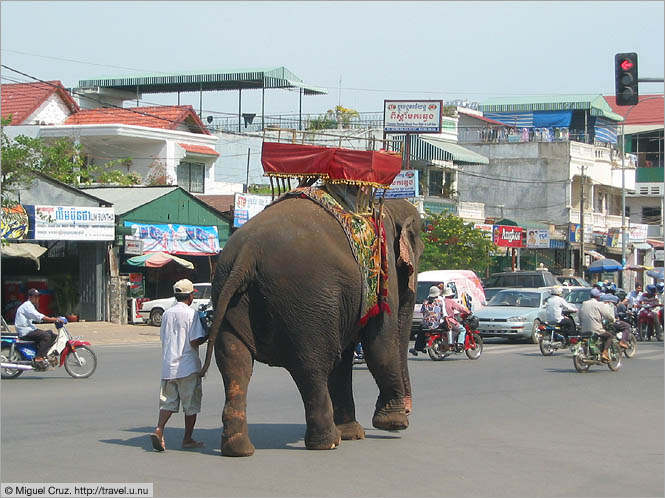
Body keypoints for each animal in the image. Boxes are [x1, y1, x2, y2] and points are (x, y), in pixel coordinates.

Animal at [200, 193, 422, 458]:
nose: (408, 411)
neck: (388, 207)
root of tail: (248, 251)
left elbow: (346, 358)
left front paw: (355, 433)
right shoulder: (381, 271)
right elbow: (379, 345)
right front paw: (392, 423)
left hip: (228, 294)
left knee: (235, 362)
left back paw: (238, 450)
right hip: (307, 303)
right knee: (312, 368)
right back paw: (328, 442)